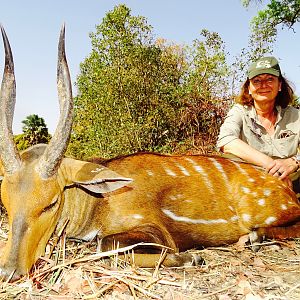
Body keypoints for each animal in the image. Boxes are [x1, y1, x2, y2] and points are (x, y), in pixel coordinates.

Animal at [0, 24, 300, 280]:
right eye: (6, 201)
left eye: (50, 203)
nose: (9, 271)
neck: (97, 203)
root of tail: (284, 187)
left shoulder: (154, 230)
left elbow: (105, 246)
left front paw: (191, 258)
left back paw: (253, 238)